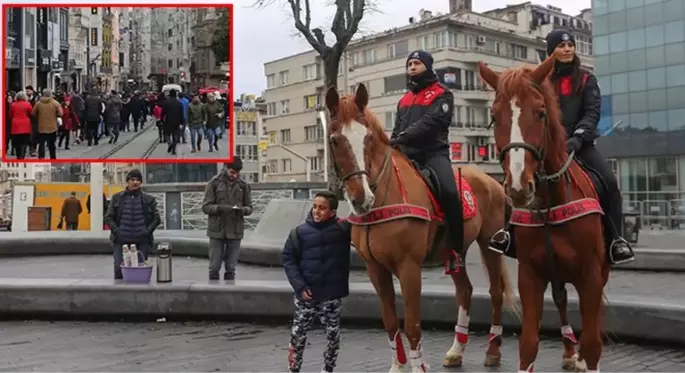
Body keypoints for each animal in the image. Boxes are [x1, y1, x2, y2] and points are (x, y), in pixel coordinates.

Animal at [326, 83, 520, 370]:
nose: (361, 198)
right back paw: (456, 351)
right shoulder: (376, 270)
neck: (383, 198)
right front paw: (397, 367)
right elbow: (390, 322)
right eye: (335, 139)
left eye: (368, 138)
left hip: (489, 245)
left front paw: (418, 367)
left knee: (495, 293)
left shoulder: (409, 268)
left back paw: (493, 351)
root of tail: (492, 181)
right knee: (465, 291)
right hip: (456, 250)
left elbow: (412, 325)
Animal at [476, 56, 608, 372]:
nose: (518, 185)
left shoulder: (591, 275)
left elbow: (593, 342)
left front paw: (585, 355)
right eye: (495, 115)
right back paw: (569, 351)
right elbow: (528, 344)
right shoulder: (530, 275)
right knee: (560, 300)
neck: (551, 205)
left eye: (540, 113)